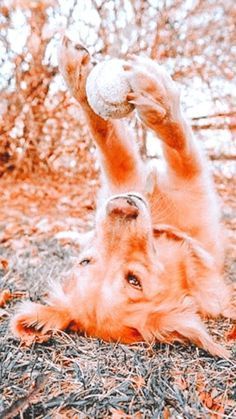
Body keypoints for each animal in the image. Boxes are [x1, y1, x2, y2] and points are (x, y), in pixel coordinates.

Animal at [10, 37, 235, 358]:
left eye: (85, 261)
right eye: (134, 280)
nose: (122, 205)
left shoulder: (127, 179)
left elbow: (107, 139)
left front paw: (78, 74)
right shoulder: (188, 184)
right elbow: (176, 142)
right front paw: (158, 102)